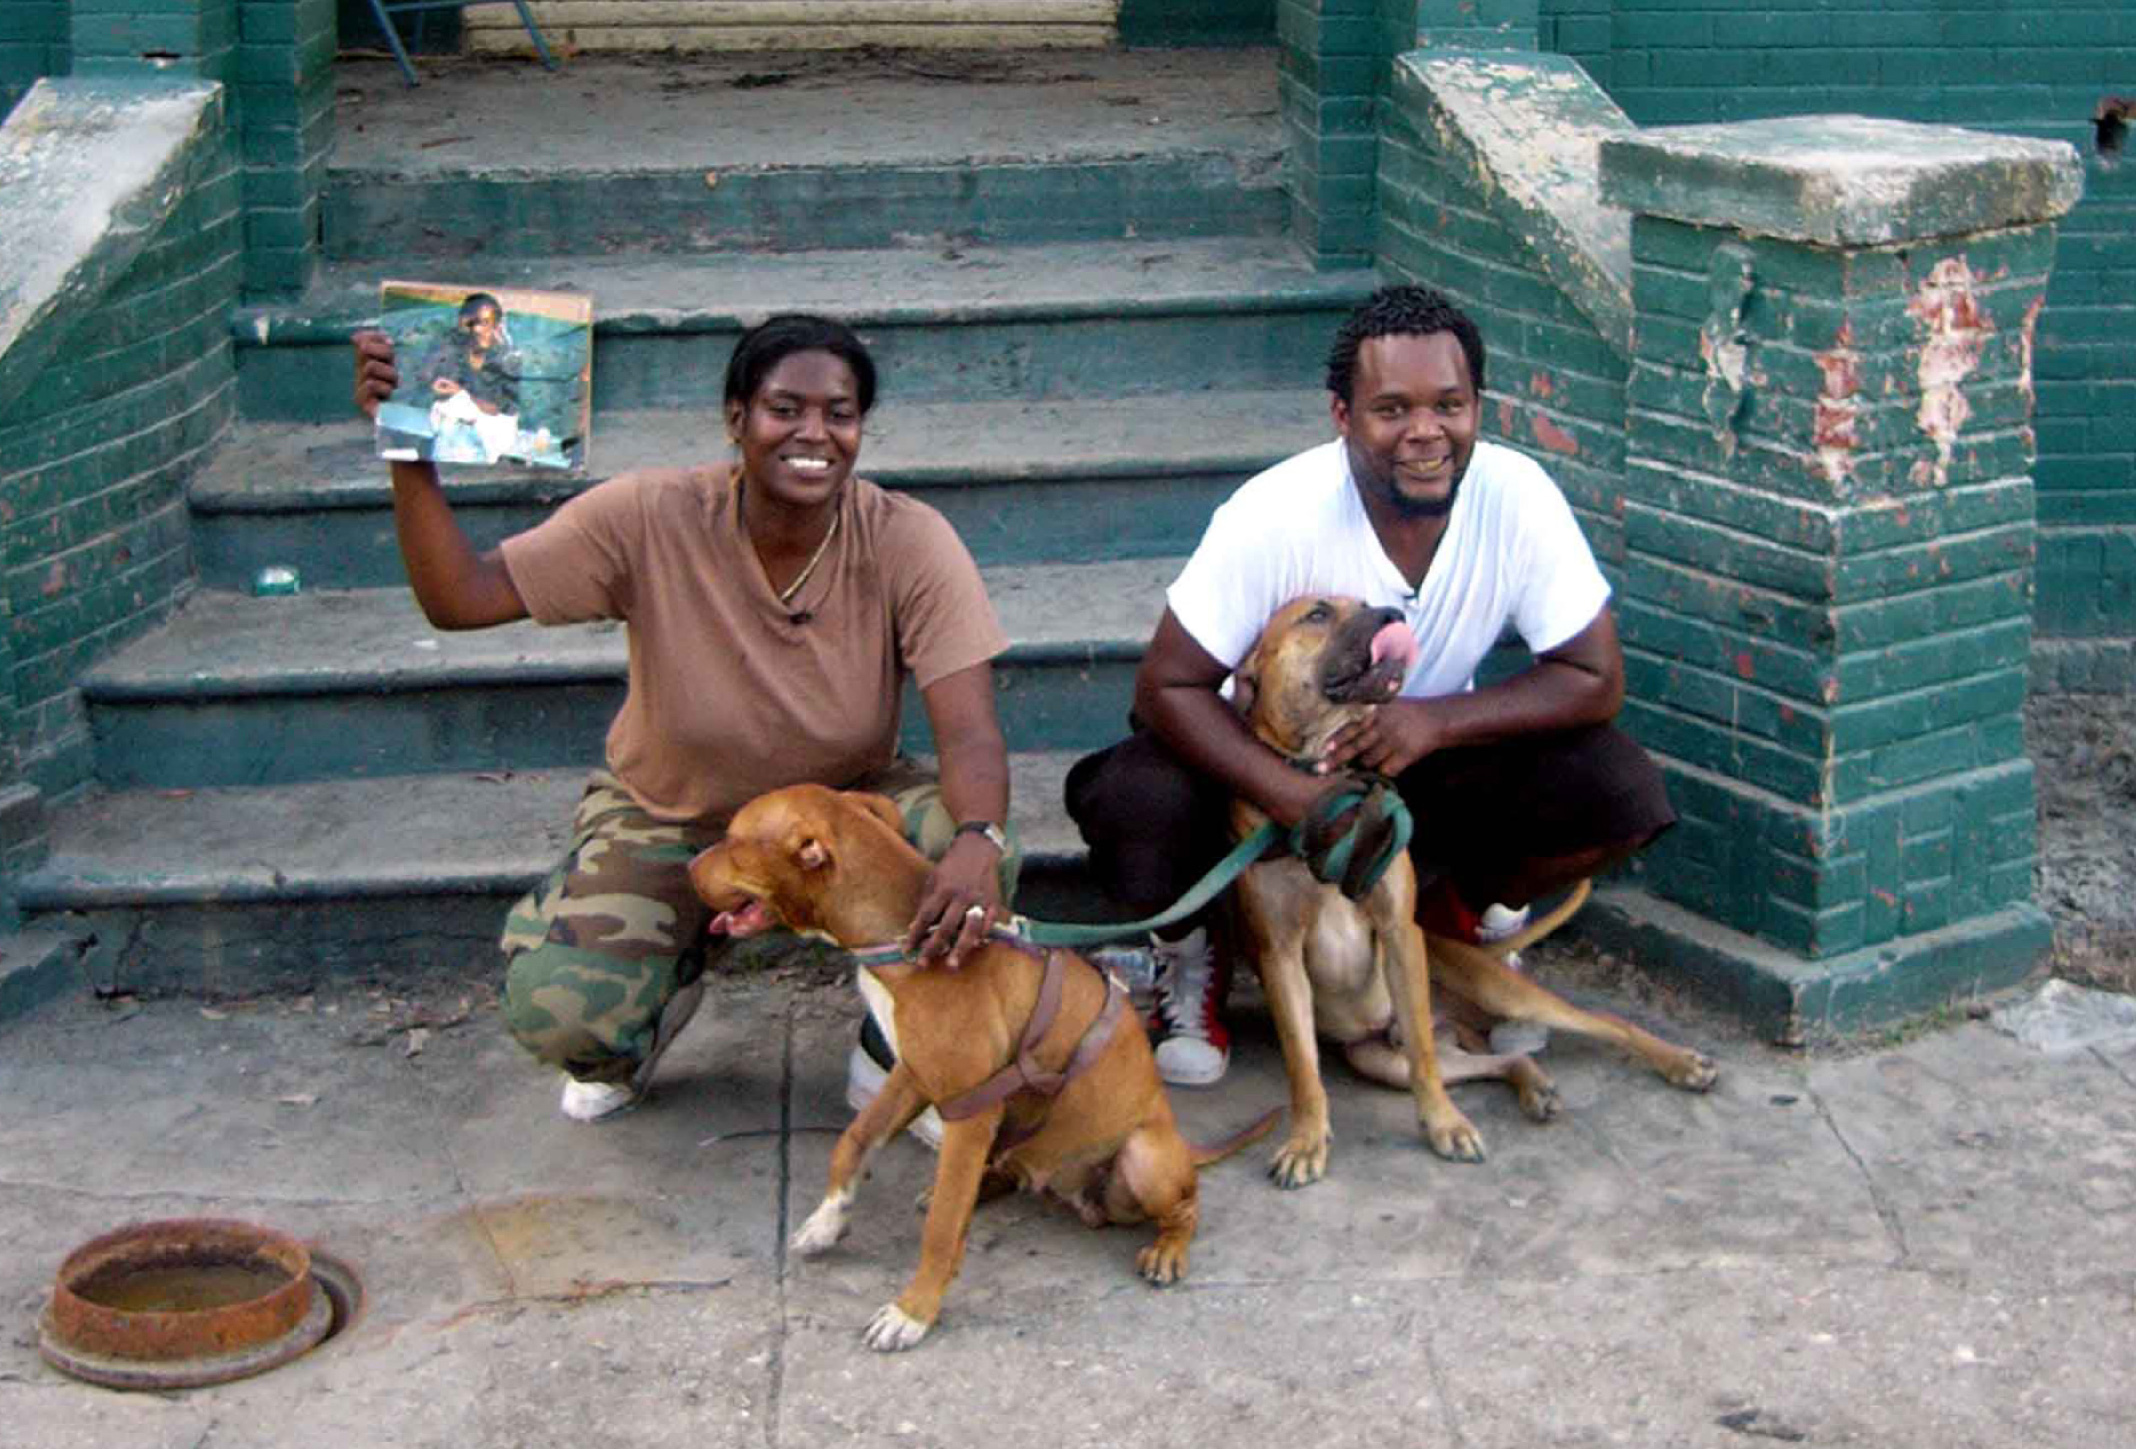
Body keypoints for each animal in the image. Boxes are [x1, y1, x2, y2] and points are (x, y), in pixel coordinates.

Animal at [692, 790, 1273, 1359]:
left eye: (733, 841)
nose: (688, 867)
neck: (901, 934)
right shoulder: (913, 1075)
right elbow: (854, 1140)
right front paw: (828, 1220)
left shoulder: (969, 1109)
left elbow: (942, 1230)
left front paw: (913, 1311)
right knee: (1001, 1172)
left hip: (1144, 1157)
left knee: (1187, 1206)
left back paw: (1168, 1250)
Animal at [1238, 594, 1717, 1188]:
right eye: (1318, 613)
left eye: (1364, 602)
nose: (1391, 613)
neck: (1331, 784)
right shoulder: (1279, 956)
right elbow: (1303, 1068)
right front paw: (1307, 1141)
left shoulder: (1398, 933)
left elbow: (1423, 1055)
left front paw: (1445, 1125)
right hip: (1378, 1058)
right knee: (1491, 1061)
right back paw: (1534, 1086)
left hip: (1496, 993)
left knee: (1606, 1024)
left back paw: (1680, 1063)